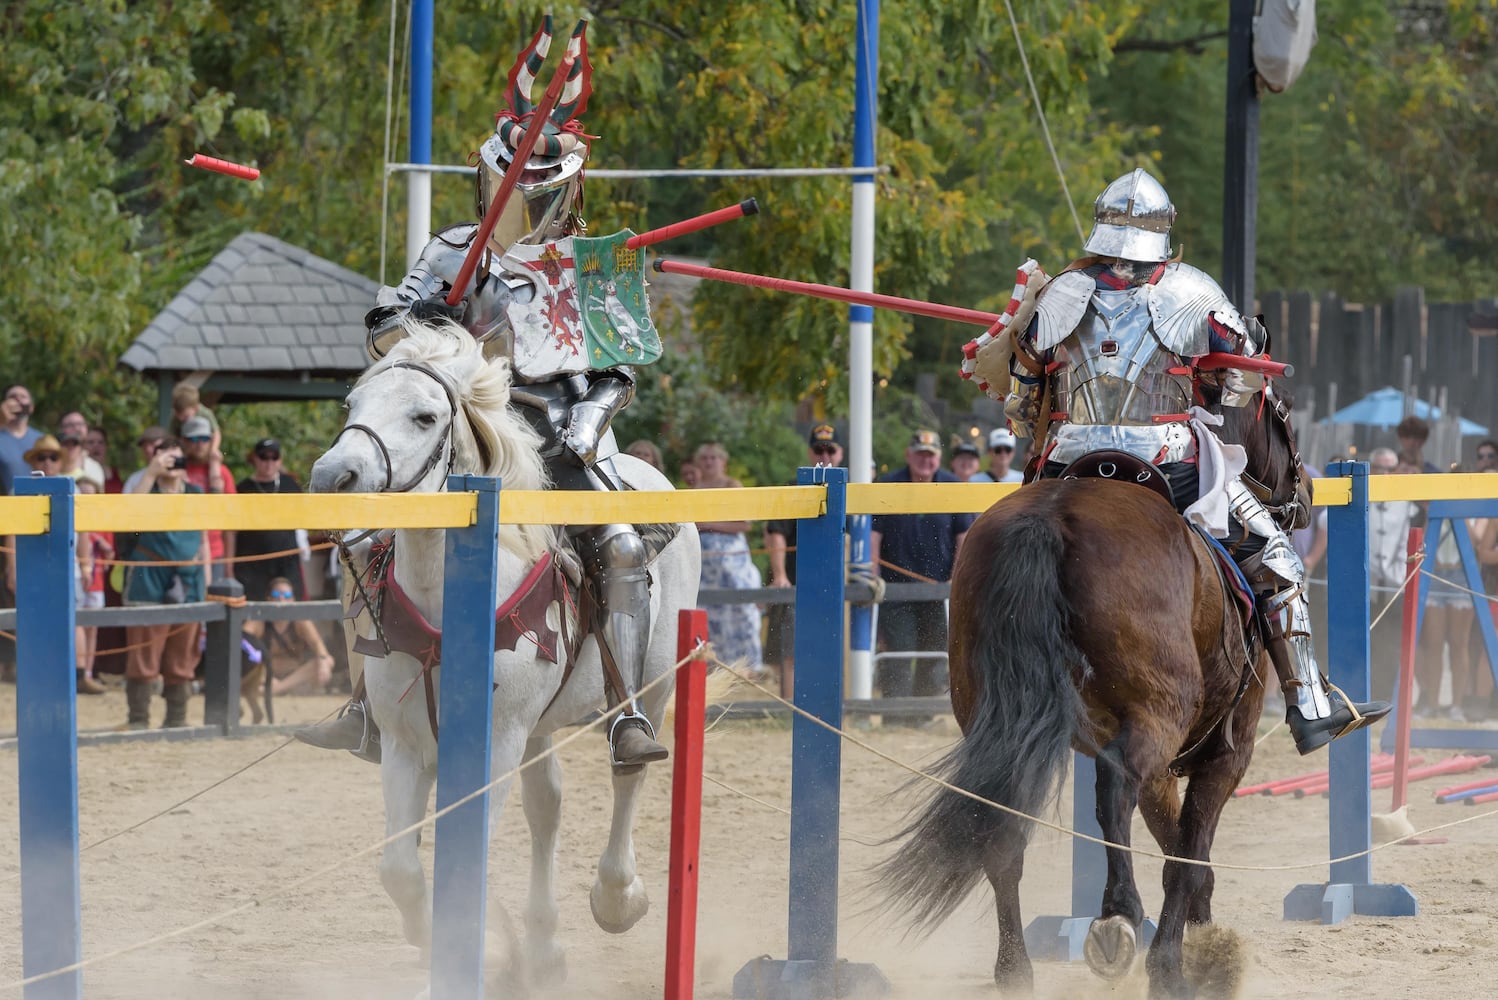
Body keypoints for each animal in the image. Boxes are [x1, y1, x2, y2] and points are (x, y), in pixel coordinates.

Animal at [308, 318, 701, 982]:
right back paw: (543, 947)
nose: (332, 480)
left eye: (423, 416)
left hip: (655, 681)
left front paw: (479, 945)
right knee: (547, 807)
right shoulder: (408, 745)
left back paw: (617, 895)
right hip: (536, 729)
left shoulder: (495, 744)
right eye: (352, 405)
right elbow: (401, 868)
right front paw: (469, 942)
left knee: (628, 770)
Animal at [874, 389, 1300, 999]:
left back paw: (1015, 969)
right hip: (1157, 715)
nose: (1301, 499)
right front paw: (1180, 963)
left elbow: (1175, 842)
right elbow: (1187, 852)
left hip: (1000, 723)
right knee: (1115, 782)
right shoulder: (1226, 752)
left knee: (1003, 825)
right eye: (1284, 421)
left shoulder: (1164, 764)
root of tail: (1049, 519)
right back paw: (1118, 916)